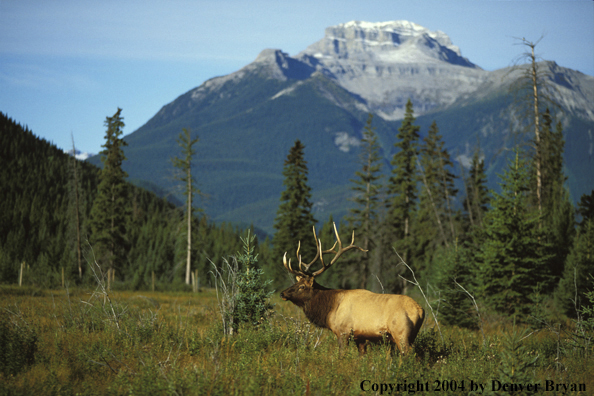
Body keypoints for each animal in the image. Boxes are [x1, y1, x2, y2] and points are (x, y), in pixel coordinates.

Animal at [280, 224, 424, 354]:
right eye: (296, 282)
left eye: (302, 286)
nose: (282, 293)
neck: (330, 309)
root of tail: (420, 310)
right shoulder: (360, 337)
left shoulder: (343, 331)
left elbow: (342, 355)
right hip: (411, 336)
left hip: (401, 334)